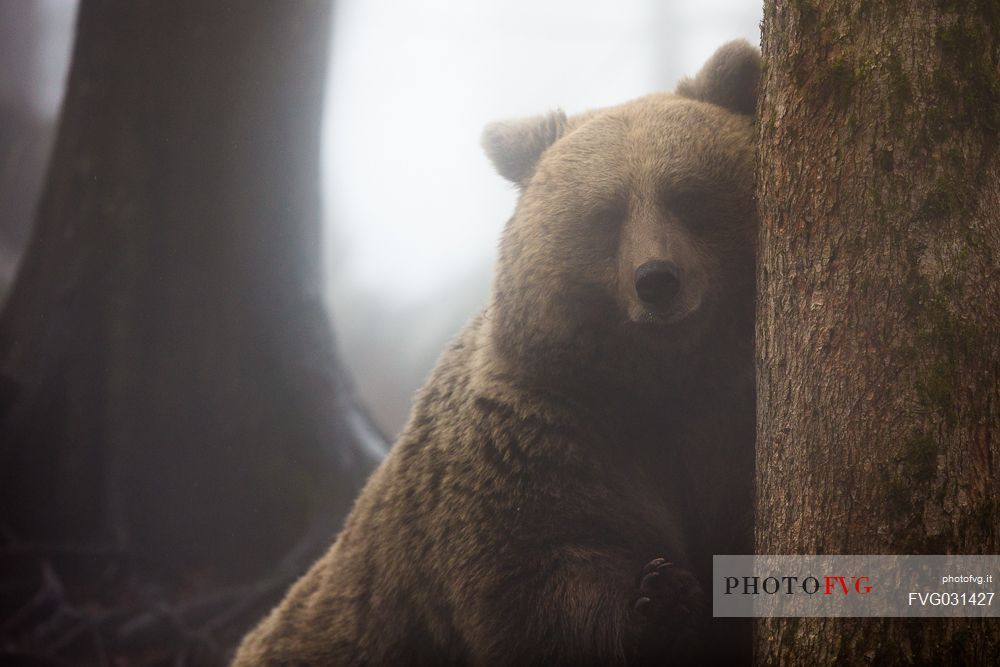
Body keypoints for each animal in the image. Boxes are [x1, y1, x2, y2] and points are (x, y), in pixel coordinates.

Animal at [232, 41, 756, 667]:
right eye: (606, 213)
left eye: (687, 196)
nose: (657, 280)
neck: (662, 379)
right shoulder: (535, 437)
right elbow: (533, 580)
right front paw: (658, 597)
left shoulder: (728, 424)